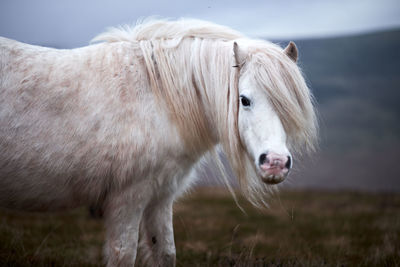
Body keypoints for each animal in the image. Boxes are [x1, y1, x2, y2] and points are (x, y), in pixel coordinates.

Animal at [0, 18, 318, 266]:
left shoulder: (160, 197)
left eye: (290, 103)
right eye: (244, 100)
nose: (275, 163)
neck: (158, 99)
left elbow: (165, 253)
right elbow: (124, 255)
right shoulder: (127, 199)